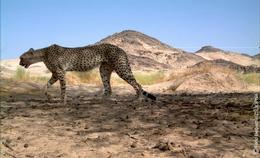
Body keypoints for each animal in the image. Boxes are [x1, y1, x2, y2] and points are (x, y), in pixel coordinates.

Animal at [19, 43, 156, 103]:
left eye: (21, 57)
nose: (19, 63)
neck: (43, 54)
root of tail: (120, 48)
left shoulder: (60, 72)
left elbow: (63, 88)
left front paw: (62, 100)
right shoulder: (55, 74)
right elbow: (46, 85)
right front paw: (48, 96)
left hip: (121, 68)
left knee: (137, 84)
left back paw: (137, 98)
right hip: (104, 70)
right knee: (109, 89)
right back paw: (98, 100)